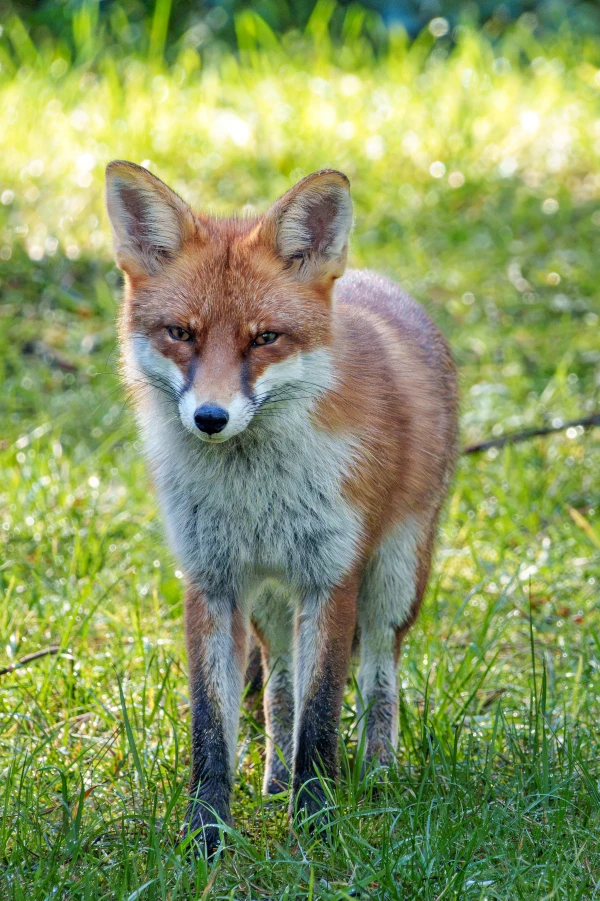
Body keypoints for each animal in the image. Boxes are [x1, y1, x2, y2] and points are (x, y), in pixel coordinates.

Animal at [105, 160, 458, 854]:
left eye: (265, 338)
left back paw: (377, 774)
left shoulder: (331, 575)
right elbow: (214, 728)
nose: (210, 418)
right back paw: (273, 780)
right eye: (180, 333)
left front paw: (317, 824)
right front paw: (207, 835)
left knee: (379, 672)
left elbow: (320, 720)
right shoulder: (212, 580)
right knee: (277, 686)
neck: (254, 496)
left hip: (395, 577)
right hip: (270, 600)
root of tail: (379, 284)